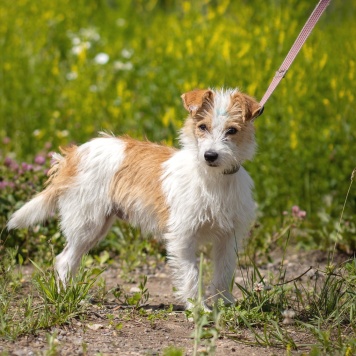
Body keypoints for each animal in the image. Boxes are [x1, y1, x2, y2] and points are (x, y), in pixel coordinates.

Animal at [6, 88, 260, 308]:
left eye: (232, 131)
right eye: (202, 126)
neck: (213, 179)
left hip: (95, 227)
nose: (210, 155)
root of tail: (75, 153)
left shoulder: (228, 237)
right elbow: (191, 275)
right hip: (87, 223)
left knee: (69, 259)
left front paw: (224, 304)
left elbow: (224, 272)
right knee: (64, 260)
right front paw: (198, 309)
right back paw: (66, 298)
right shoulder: (183, 237)